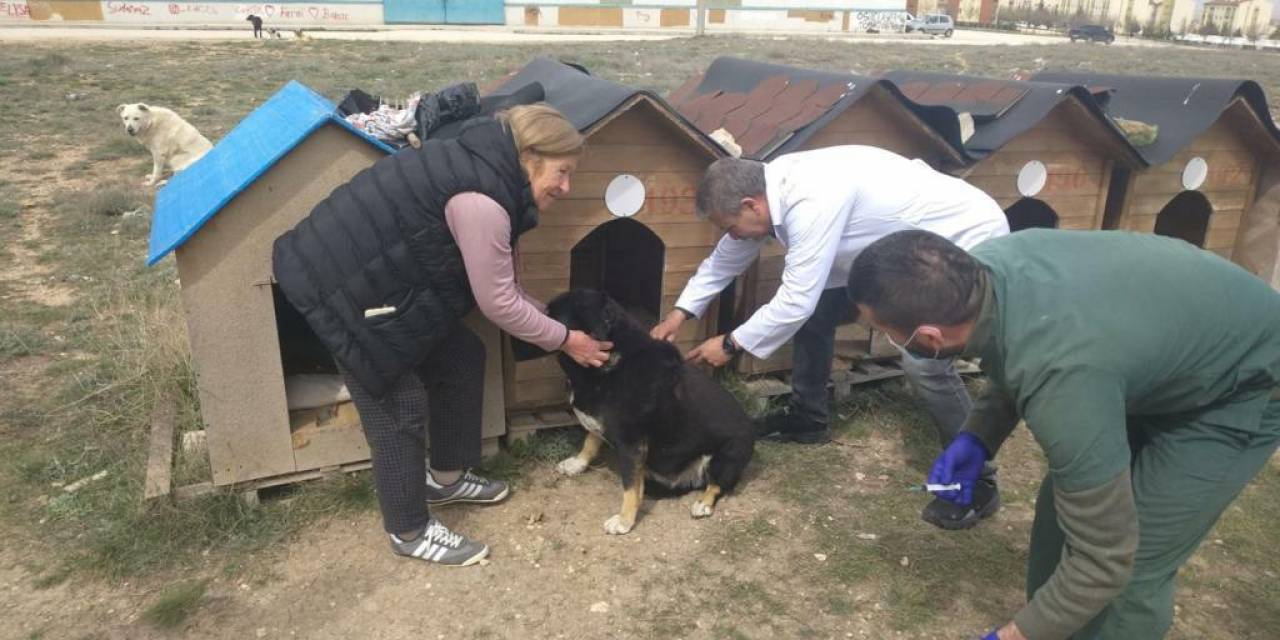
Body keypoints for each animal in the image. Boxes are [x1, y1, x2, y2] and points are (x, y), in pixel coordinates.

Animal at [545, 290, 752, 535]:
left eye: (552, 315)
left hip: (725, 457)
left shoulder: (631, 444)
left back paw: (703, 503)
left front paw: (624, 520)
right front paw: (578, 463)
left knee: (717, 485)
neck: (612, 363)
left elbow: (630, 487)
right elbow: (591, 440)